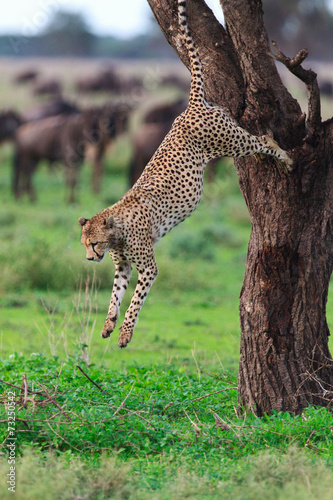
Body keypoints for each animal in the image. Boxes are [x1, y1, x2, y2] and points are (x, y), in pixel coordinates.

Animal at [78, 0, 290, 348]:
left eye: (93, 244)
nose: (88, 259)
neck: (117, 228)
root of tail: (189, 108)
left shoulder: (147, 267)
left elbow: (135, 301)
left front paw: (125, 332)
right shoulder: (122, 267)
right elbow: (115, 296)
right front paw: (108, 324)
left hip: (229, 141)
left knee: (262, 138)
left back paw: (285, 157)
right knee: (256, 140)